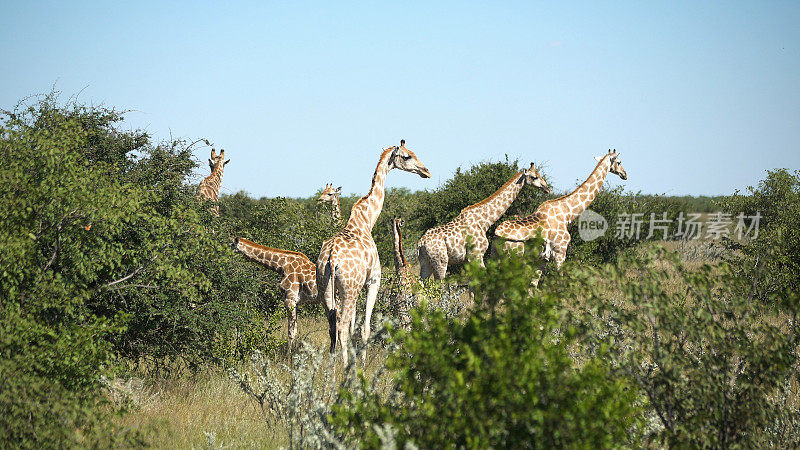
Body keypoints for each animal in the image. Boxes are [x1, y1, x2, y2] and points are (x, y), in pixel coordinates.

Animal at [318, 141, 432, 362]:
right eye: (407, 156)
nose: (426, 171)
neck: (366, 220)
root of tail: (331, 258)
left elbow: (355, 327)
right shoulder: (373, 280)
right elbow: (365, 328)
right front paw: (361, 362)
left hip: (326, 290)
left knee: (332, 327)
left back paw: (331, 369)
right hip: (349, 290)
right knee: (342, 327)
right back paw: (345, 368)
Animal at [418, 163, 552, 280]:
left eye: (539, 174)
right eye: (534, 177)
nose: (547, 188)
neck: (485, 221)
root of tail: (421, 243)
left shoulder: (468, 259)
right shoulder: (476, 255)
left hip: (425, 263)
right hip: (440, 261)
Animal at [494, 149, 624, 272]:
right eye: (619, 162)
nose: (625, 174)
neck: (567, 213)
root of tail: (497, 235)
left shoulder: (542, 259)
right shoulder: (560, 253)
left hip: (495, 256)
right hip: (514, 256)